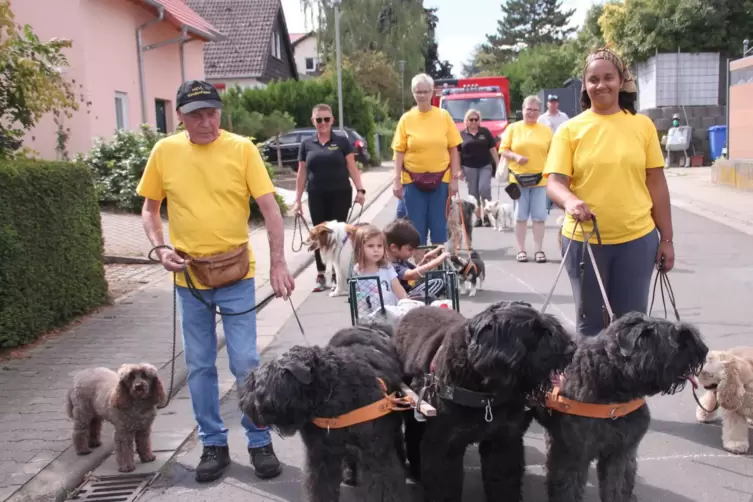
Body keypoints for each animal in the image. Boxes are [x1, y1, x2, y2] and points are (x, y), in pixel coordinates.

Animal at [239, 322, 406, 502]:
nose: (242, 402)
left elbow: (385, 487)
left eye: (258, 382)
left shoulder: (378, 457)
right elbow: (320, 487)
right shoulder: (320, 456)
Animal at [396, 300, 572, 500]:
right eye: (533, 332)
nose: (571, 349)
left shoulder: (502, 441)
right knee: (412, 437)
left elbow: (503, 481)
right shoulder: (444, 445)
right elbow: (443, 487)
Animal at [532, 312, 708, 500]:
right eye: (676, 338)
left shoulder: (620, 453)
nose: (703, 350)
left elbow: (616, 486)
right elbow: (568, 489)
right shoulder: (574, 455)